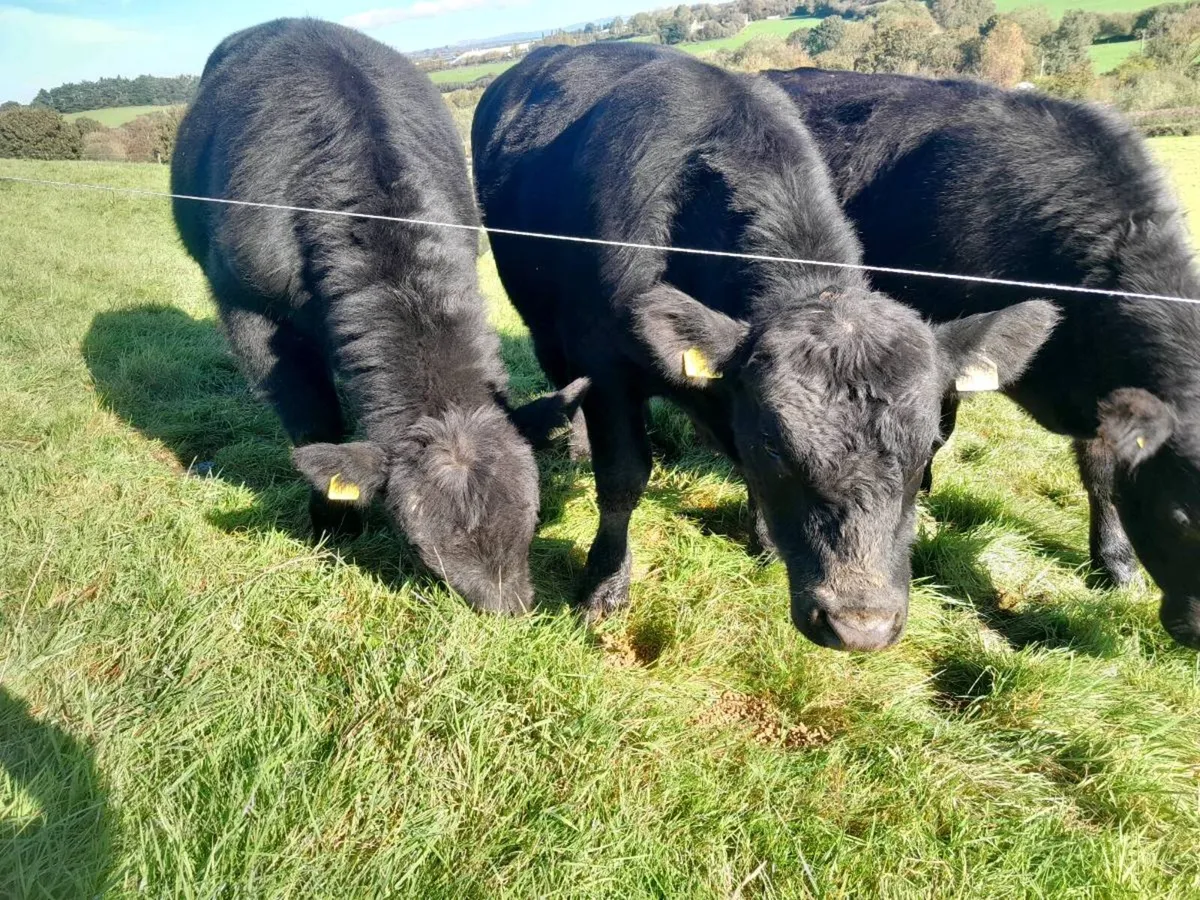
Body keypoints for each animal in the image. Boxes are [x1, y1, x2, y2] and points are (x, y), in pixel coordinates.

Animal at [171, 18, 586, 614]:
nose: (510, 608)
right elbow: (311, 418)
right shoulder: (246, 305)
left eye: (533, 514)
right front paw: (332, 523)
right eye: (420, 545)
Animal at [472, 42, 1057, 651]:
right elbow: (623, 480)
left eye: (930, 447)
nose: (861, 626)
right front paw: (604, 588)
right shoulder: (607, 367)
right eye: (776, 445)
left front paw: (767, 541)